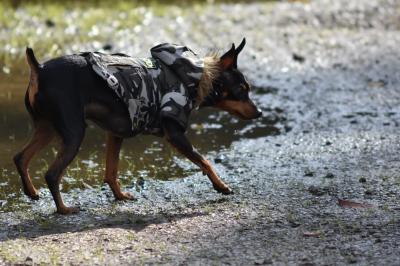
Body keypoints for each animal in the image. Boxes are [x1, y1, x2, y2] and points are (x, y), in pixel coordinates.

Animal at [13, 39, 262, 214]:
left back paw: (32, 193)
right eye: (242, 90)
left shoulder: (115, 133)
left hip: (48, 128)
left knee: (21, 157)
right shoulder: (175, 134)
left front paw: (120, 196)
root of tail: (39, 69)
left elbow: (111, 171)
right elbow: (205, 161)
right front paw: (222, 186)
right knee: (52, 174)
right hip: (74, 133)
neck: (196, 77)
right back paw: (64, 209)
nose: (259, 112)